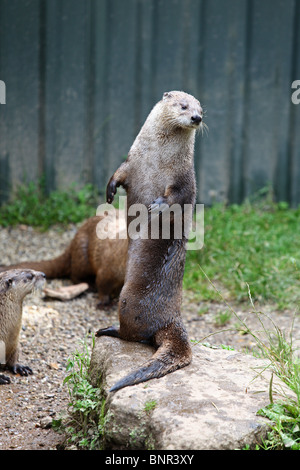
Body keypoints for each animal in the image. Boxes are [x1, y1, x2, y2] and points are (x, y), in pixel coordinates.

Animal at [96, 90, 204, 392]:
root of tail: (172, 318)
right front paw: (109, 191)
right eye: (184, 105)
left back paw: (108, 329)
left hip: (128, 301)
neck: (157, 159)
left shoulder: (184, 178)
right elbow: (118, 173)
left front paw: (157, 206)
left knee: (135, 335)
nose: (197, 117)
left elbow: (179, 196)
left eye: (201, 108)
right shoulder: (132, 162)